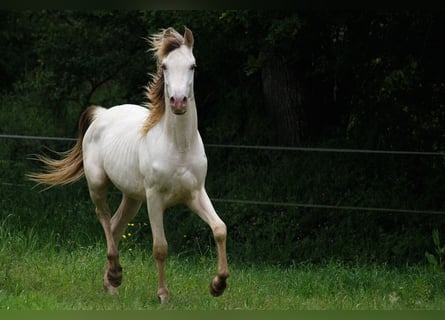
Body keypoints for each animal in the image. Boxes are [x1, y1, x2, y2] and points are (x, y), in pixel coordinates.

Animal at [28, 26, 229, 302]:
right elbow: (160, 248)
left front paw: (218, 285)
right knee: (104, 217)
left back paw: (111, 283)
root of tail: (102, 114)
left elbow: (220, 229)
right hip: (98, 185)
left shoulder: (195, 193)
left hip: (133, 197)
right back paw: (115, 274)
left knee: (115, 226)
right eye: (164, 66)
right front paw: (163, 295)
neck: (178, 147)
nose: (178, 101)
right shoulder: (155, 198)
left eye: (193, 66)